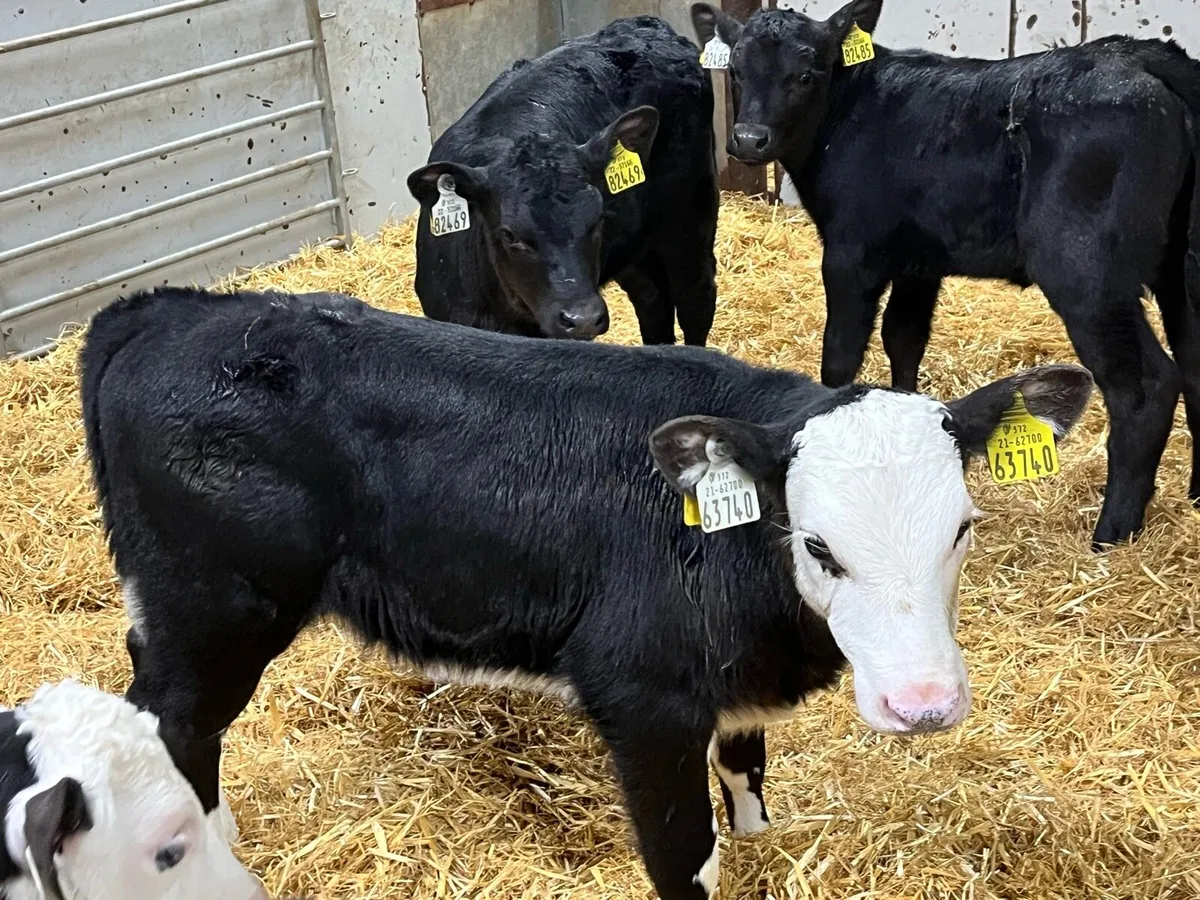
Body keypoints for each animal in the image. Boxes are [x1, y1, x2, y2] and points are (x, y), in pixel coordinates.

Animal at [80, 286, 1093, 900]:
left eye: (962, 528)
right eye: (818, 545)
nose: (923, 705)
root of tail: (166, 309)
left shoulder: (731, 683)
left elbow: (748, 777)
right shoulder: (643, 698)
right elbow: (687, 857)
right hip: (215, 609)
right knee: (175, 721)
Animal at [407, 15, 719, 346]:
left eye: (597, 220)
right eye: (510, 235)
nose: (583, 319)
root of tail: (644, 24)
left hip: (690, 223)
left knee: (695, 299)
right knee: (652, 299)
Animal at [691, 0, 1200, 549]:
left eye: (805, 75)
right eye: (735, 71)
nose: (748, 139)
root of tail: (1138, 54)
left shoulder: (851, 255)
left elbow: (840, 356)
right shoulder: (920, 262)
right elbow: (904, 338)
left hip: (1088, 275)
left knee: (1146, 387)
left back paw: (1112, 530)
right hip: (1183, 267)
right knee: (1193, 364)